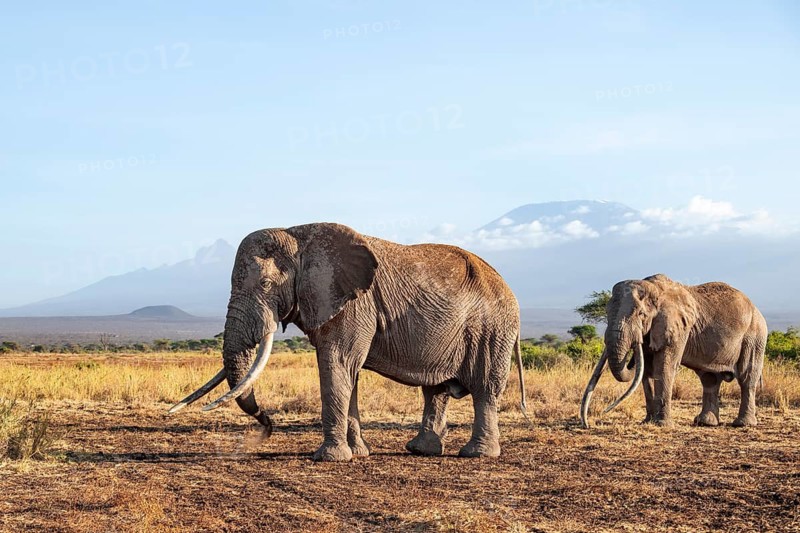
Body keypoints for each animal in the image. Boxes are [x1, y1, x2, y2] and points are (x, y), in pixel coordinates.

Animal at [169, 223, 526, 461]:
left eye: (267, 284)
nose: (264, 431)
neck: (298, 235)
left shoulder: (353, 303)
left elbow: (337, 362)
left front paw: (330, 458)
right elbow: (348, 372)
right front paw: (358, 453)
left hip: (493, 329)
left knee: (485, 388)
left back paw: (477, 454)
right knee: (435, 391)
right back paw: (420, 450)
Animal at [580, 274, 767, 429]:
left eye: (641, 314)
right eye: (607, 312)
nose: (588, 424)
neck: (654, 289)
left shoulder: (676, 328)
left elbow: (663, 367)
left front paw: (662, 424)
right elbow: (647, 370)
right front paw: (647, 421)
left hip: (754, 336)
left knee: (747, 377)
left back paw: (742, 424)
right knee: (709, 379)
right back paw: (705, 423)